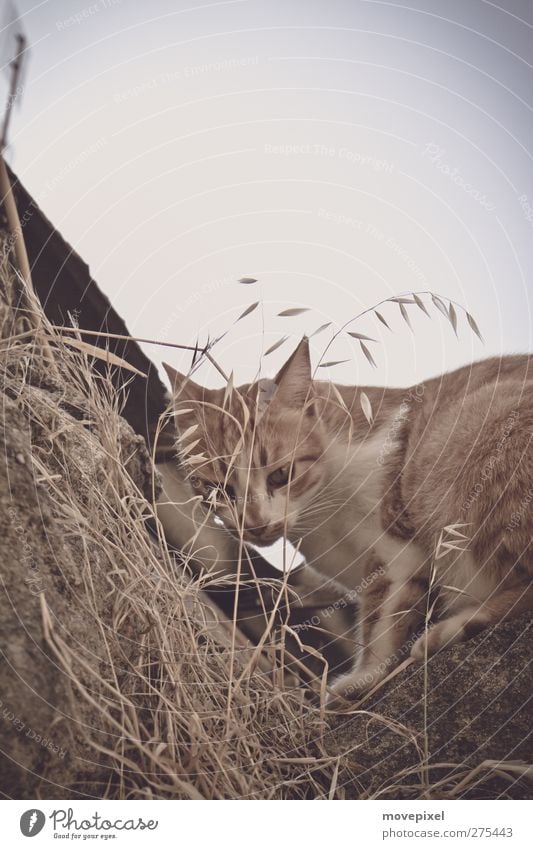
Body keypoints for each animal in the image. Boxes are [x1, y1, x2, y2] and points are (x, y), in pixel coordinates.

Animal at [162, 338, 532, 704]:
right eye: (217, 489)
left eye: (281, 475)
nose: (255, 523)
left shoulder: (395, 548)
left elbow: (382, 619)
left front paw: (362, 677)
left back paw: (454, 627)